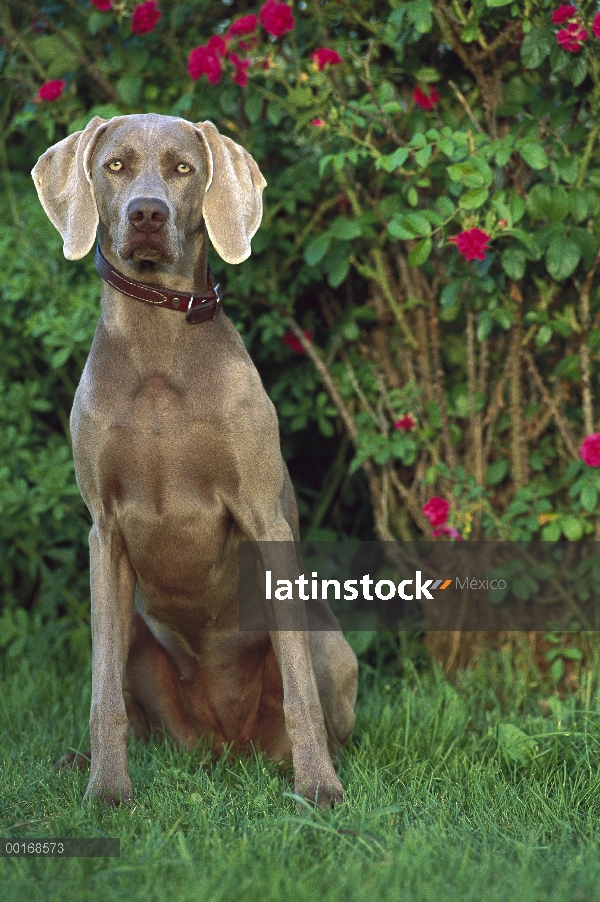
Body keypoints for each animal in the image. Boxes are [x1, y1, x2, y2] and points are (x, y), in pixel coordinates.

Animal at [32, 115, 358, 812]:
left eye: (183, 168)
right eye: (116, 165)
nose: (147, 214)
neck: (158, 346)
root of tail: (224, 748)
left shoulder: (263, 515)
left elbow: (299, 689)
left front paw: (319, 790)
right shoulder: (104, 532)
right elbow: (102, 696)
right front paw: (108, 791)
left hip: (330, 640)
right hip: (134, 632)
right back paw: (83, 762)